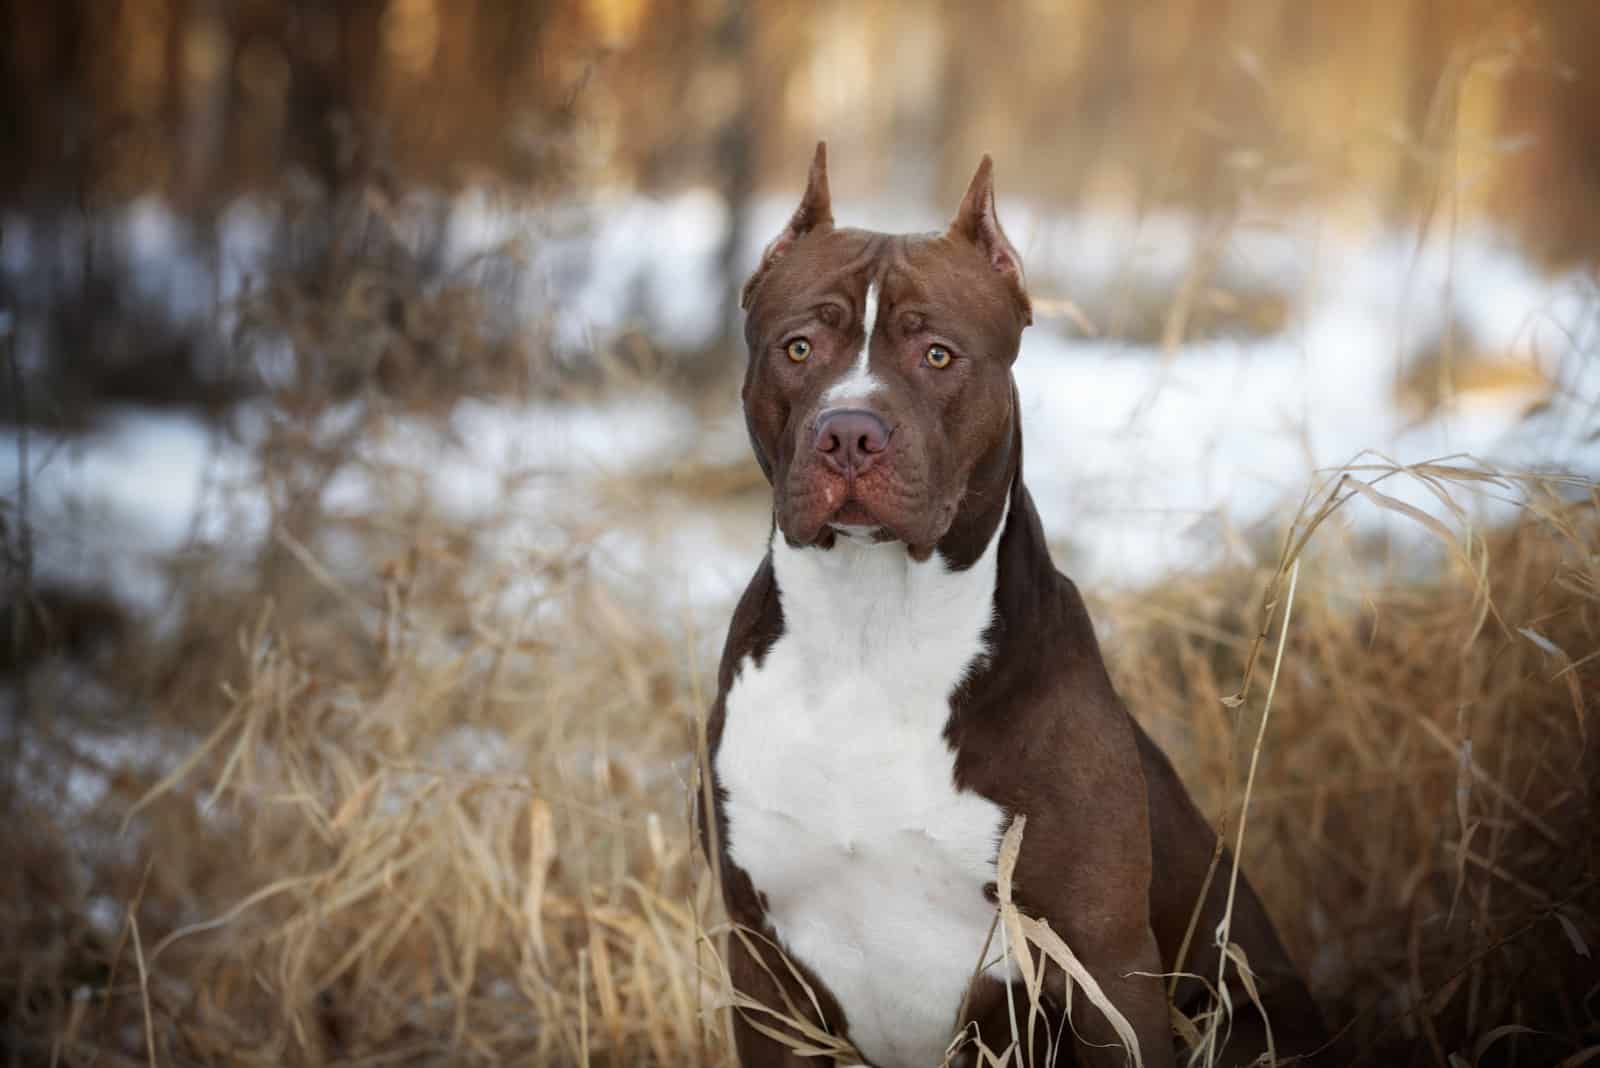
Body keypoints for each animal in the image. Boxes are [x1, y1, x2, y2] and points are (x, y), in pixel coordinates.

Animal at [700, 143, 1324, 1068]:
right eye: (799, 347)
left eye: (938, 356)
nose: (848, 433)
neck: (870, 631)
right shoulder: (762, 968)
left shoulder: (1102, 966)